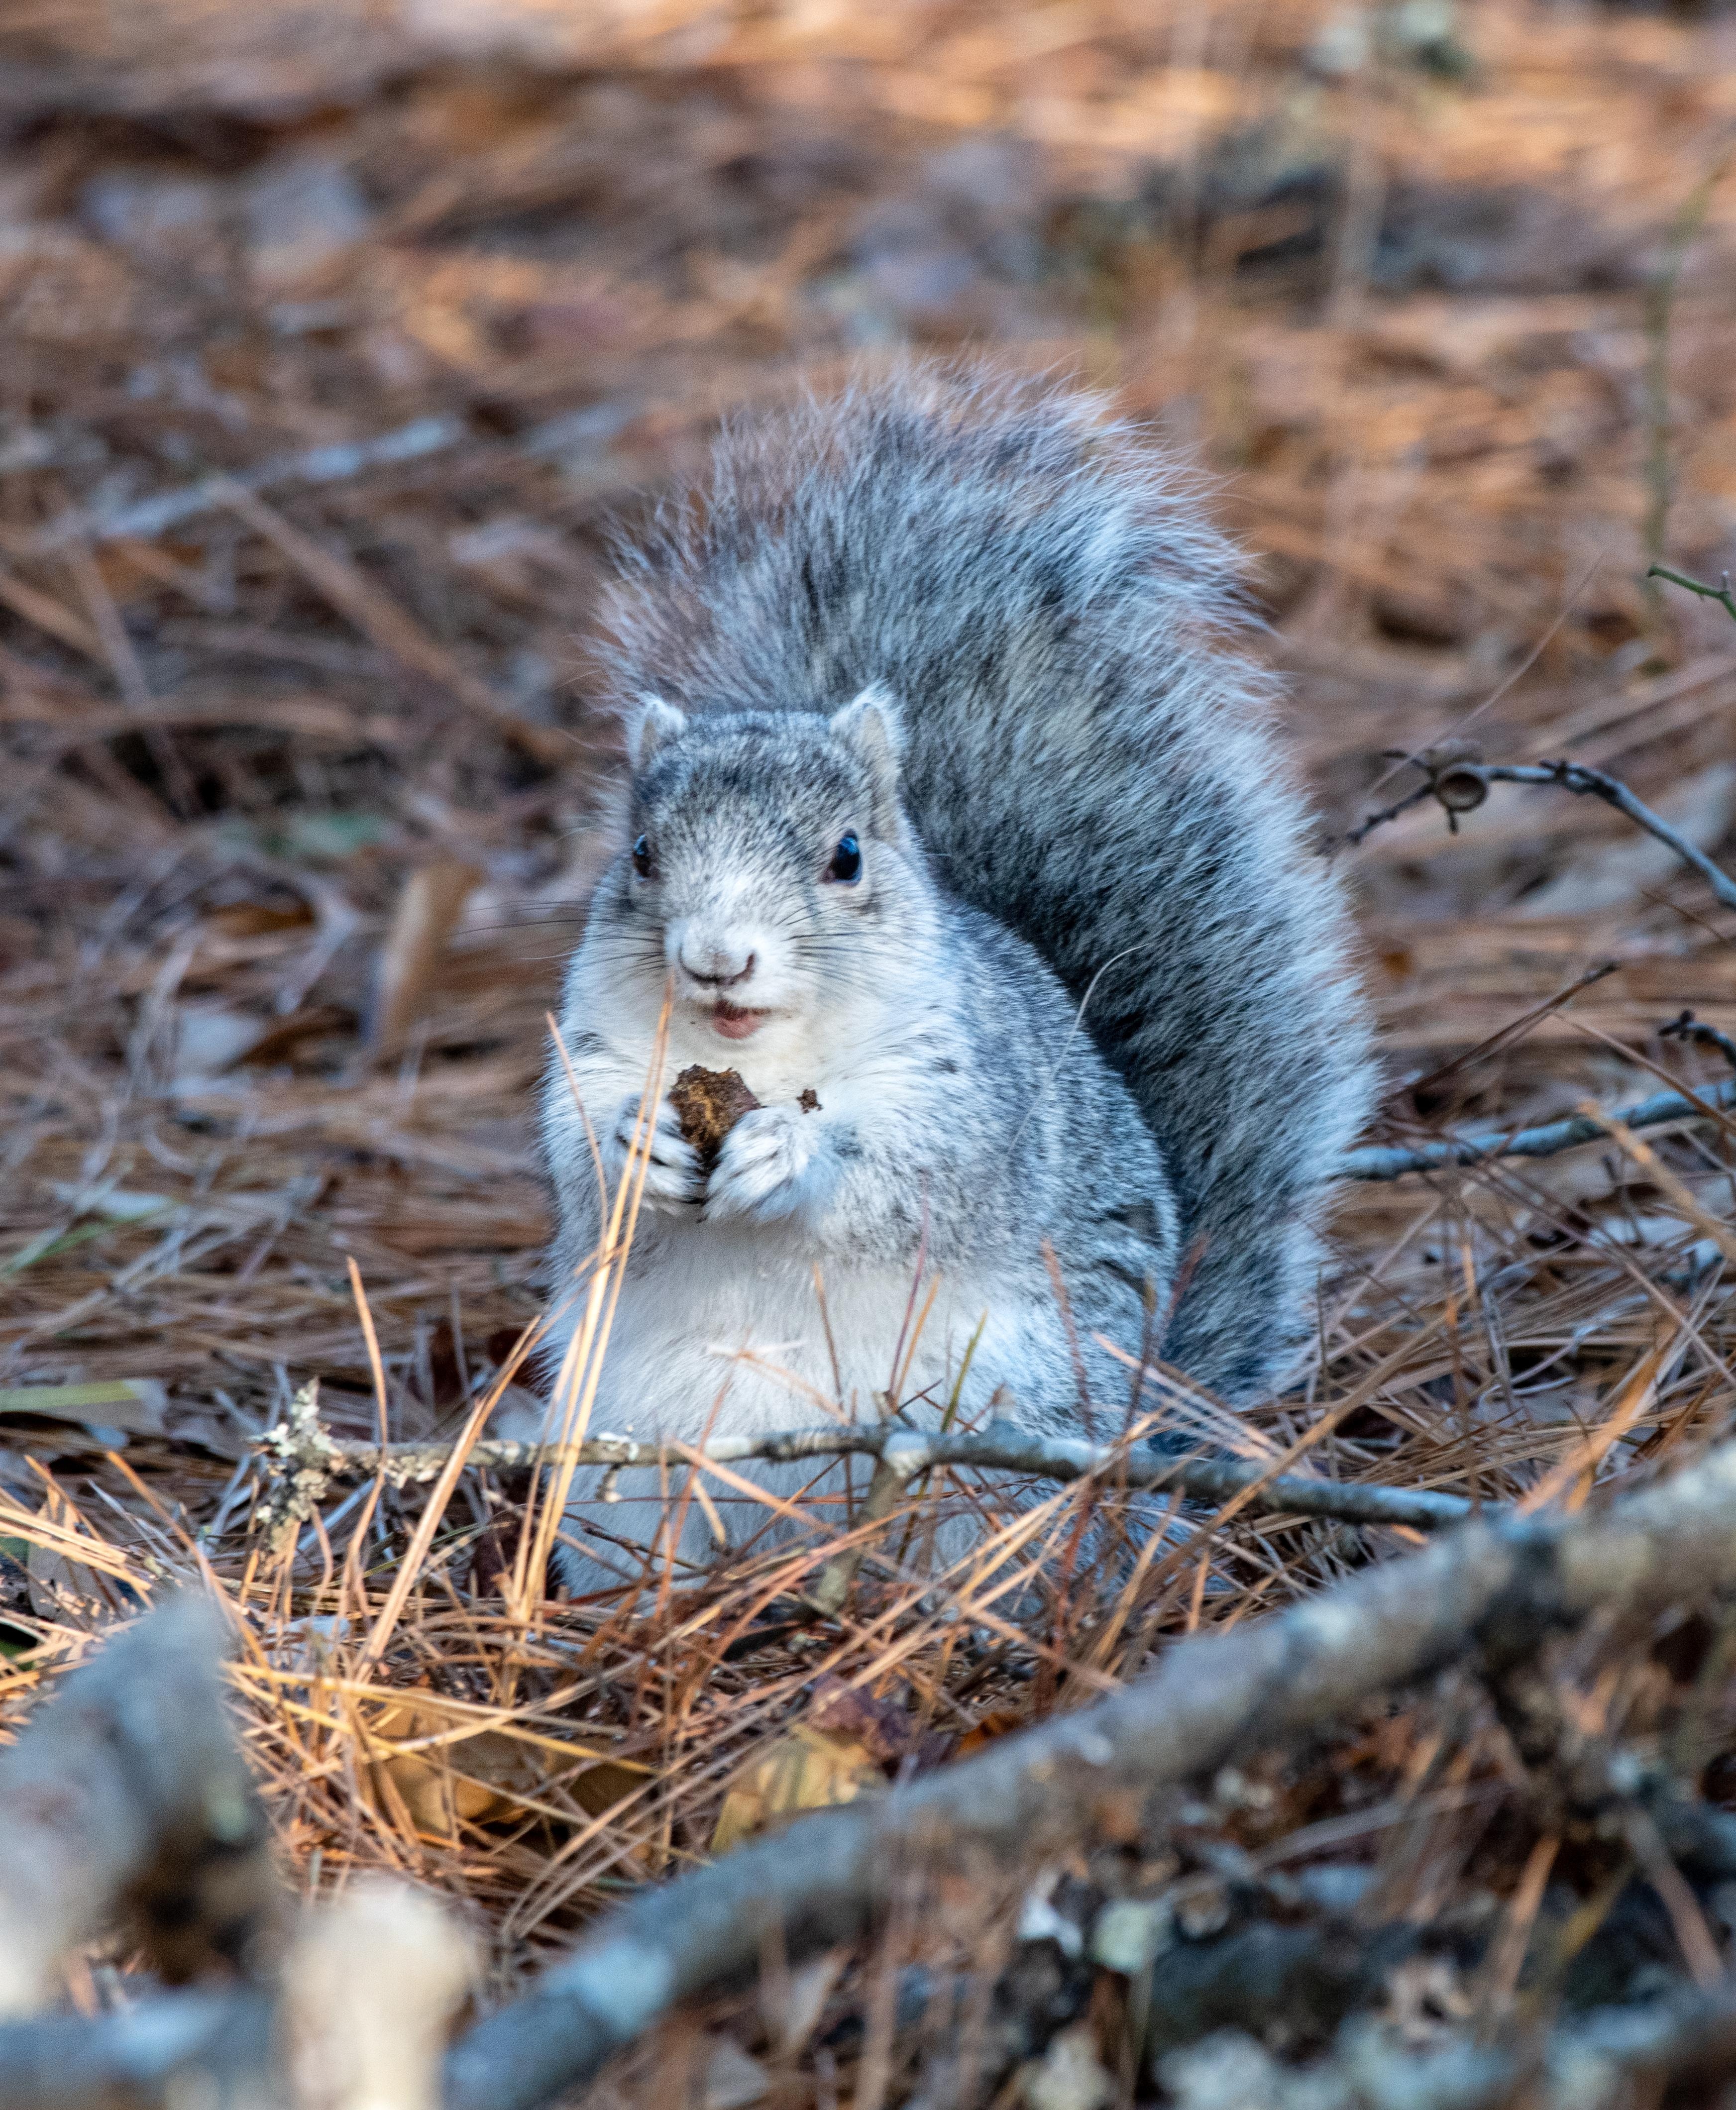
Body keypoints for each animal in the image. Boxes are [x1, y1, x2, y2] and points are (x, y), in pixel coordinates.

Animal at [540, 365, 1375, 1586]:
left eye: (846, 855)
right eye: (641, 855)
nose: (715, 957)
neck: (759, 1055)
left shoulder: (971, 1084)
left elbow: (916, 1177)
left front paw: (792, 1153)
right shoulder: (591, 1041)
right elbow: (574, 1154)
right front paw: (635, 1141)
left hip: (1003, 1420)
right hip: (625, 1451)